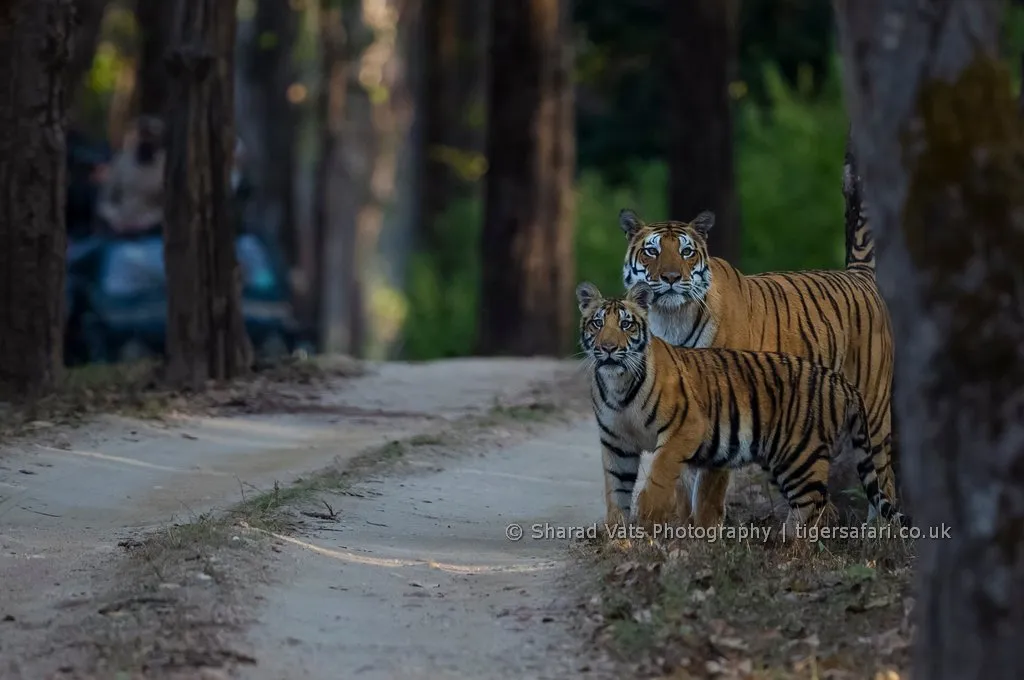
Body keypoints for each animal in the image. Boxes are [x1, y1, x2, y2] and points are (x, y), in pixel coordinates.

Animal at [614, 157, 897, 524]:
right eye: (652, 251)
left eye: (687, 252)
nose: (672, 278)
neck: (669, 316)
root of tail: (859, 275)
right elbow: (683, 477)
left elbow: (707, 485)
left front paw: (704, 526)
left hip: (872, 409)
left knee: (883, 479)